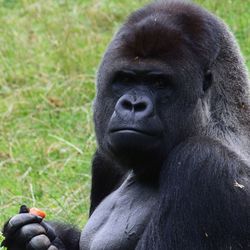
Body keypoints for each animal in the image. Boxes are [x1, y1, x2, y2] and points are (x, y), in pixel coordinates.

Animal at [1, 0, 250, 249]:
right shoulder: (106, 160)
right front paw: (26, 236)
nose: (133, 104)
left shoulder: (203, 163)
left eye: (159, 82)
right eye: (126, 79)